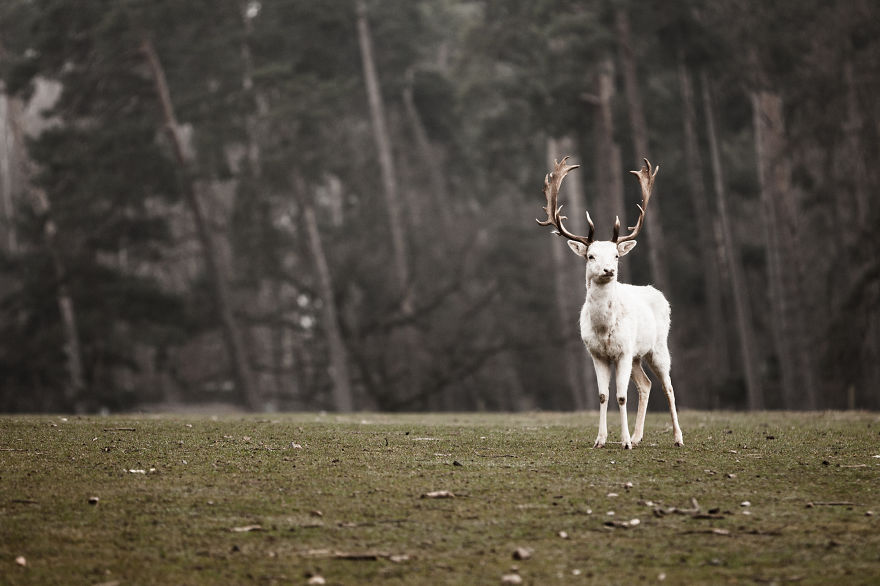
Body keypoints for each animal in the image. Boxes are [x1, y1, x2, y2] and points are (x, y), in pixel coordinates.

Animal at [537, 157, 683, 449]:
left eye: (616, 255)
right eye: (590, 256)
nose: (609, 270)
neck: (604, 329)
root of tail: (658, 294)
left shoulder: (623, 351)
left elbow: (621, 396)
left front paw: (624, 442)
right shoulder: (597, 353)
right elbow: (604, 395)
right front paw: (601, 440)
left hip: (658, 346)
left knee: (668, 386)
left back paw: (677, 438)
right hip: (638, 355)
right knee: (646, 385)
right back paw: (638, 436)